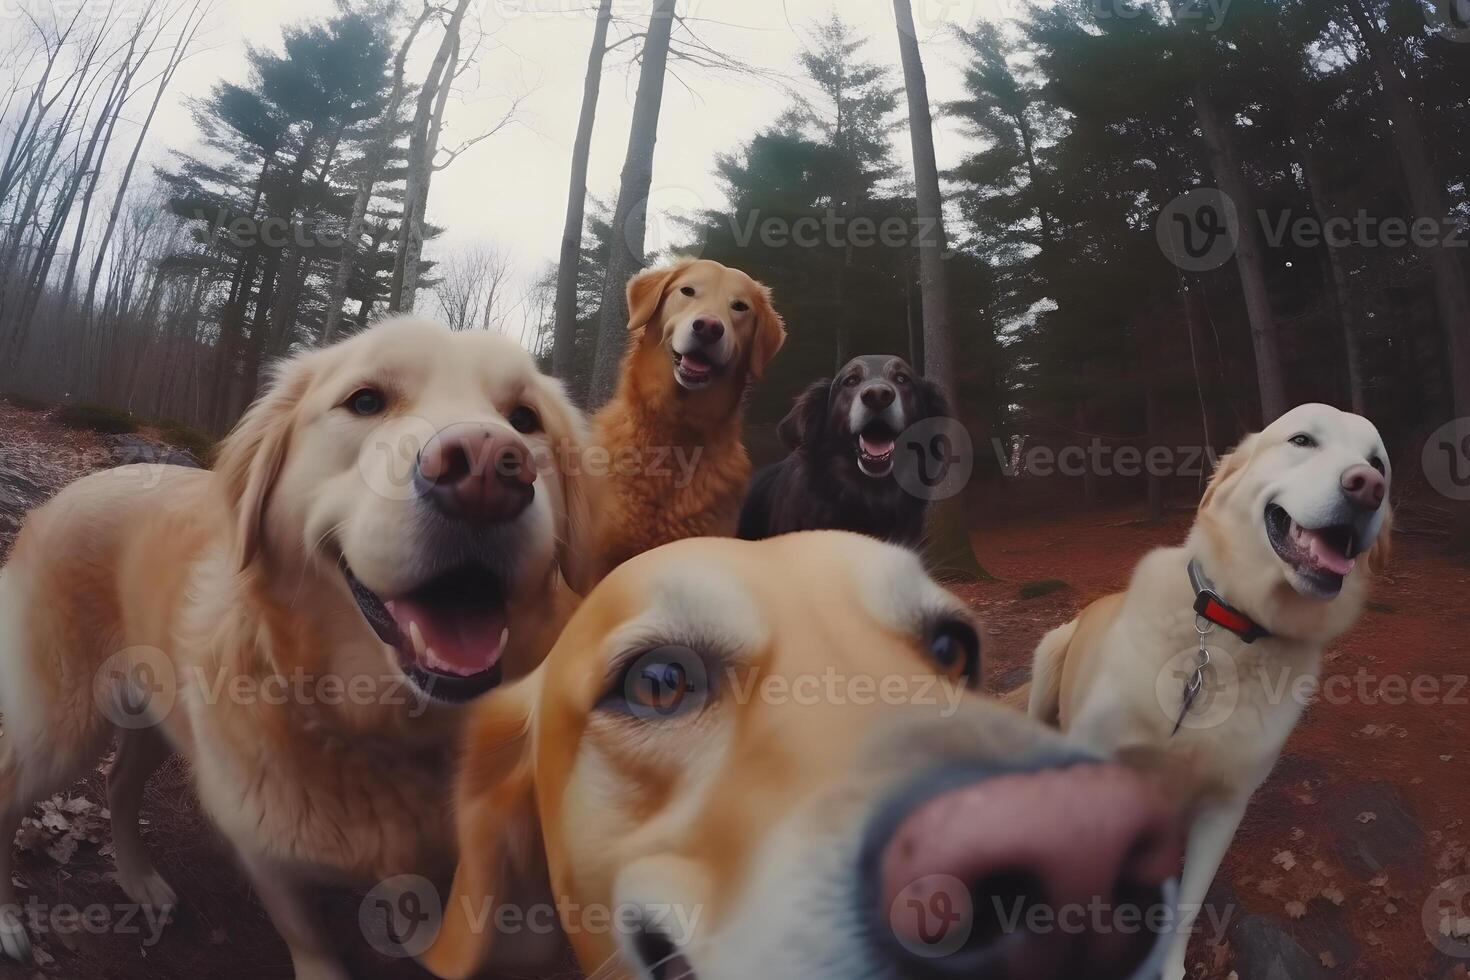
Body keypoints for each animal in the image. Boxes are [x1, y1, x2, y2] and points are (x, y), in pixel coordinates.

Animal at [5, 320, 593, 975]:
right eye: (365, 401)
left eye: (525, 418)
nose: (491, 470)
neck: (377, 729)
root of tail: (74, 487)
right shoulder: (265, 851)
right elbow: (309, 939)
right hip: (61, 730)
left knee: (118, 781)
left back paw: (140, 881)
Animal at [1023, 402, 1387, 975]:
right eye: (1302, 440)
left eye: (1378, 464)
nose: (1367, 486)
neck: (1232, 630)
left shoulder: (1223, 808)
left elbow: (1188, 905)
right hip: (1049, 653)